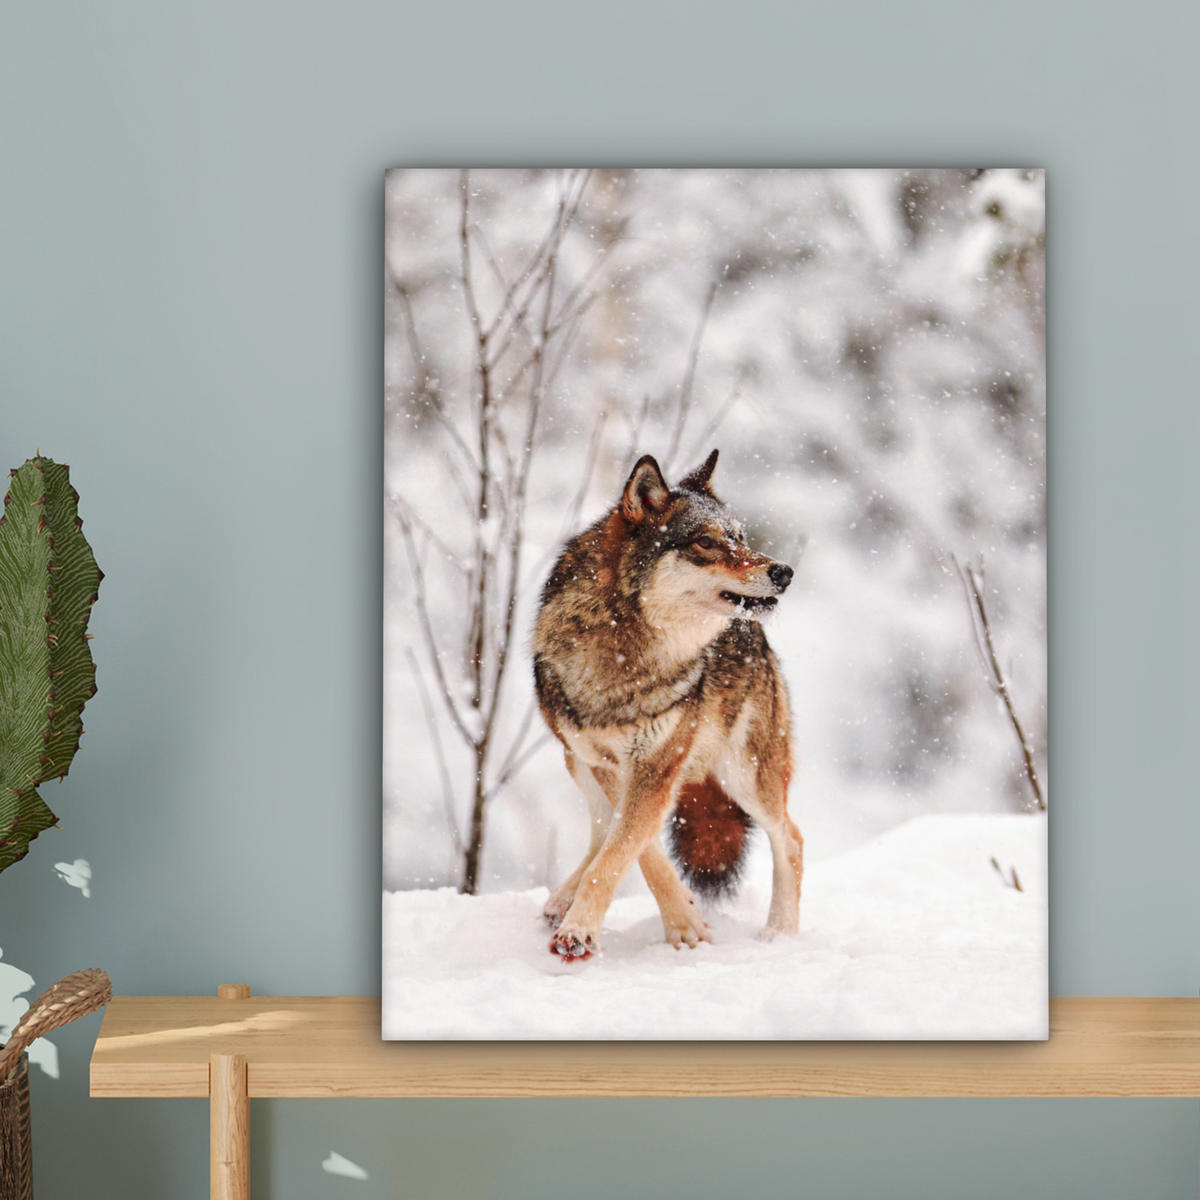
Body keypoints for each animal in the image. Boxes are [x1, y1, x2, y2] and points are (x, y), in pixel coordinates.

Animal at [532, 449, 802, 960]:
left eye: (740, 537)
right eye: (706, 542)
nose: (783, 571)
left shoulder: (656, 765)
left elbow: (622, 850)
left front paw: (582, 931)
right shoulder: (609, 763)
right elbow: (634, 849)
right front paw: (684, 919)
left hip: (745, 775)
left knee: (791, 839)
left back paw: (780, 934)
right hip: (575, 761)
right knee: (600, 831)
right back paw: (560, 900)